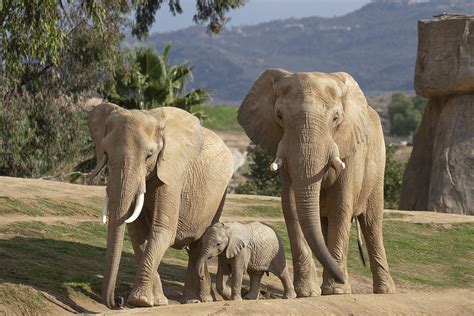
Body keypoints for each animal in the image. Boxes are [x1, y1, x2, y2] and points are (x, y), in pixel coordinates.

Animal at [87, 102, 235, 308]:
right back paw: (193, 300)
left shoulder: (172, 175)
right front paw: (155, 302)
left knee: (200, 242)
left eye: (149, 156)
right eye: (106, 153)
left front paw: (140, 301)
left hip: (219, 196)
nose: (118, 301)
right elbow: (137, 234)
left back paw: (197, 301)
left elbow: (163, 229)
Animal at [237, 68, 396, 296]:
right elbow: (291, 205)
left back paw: (384, 290)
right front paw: (308, 292)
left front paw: (336, 291)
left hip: (378, 164)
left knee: (371, 223)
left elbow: (341, 206)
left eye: (336, 118)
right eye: (279, 116)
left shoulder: (351, 148)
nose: (341, 279)